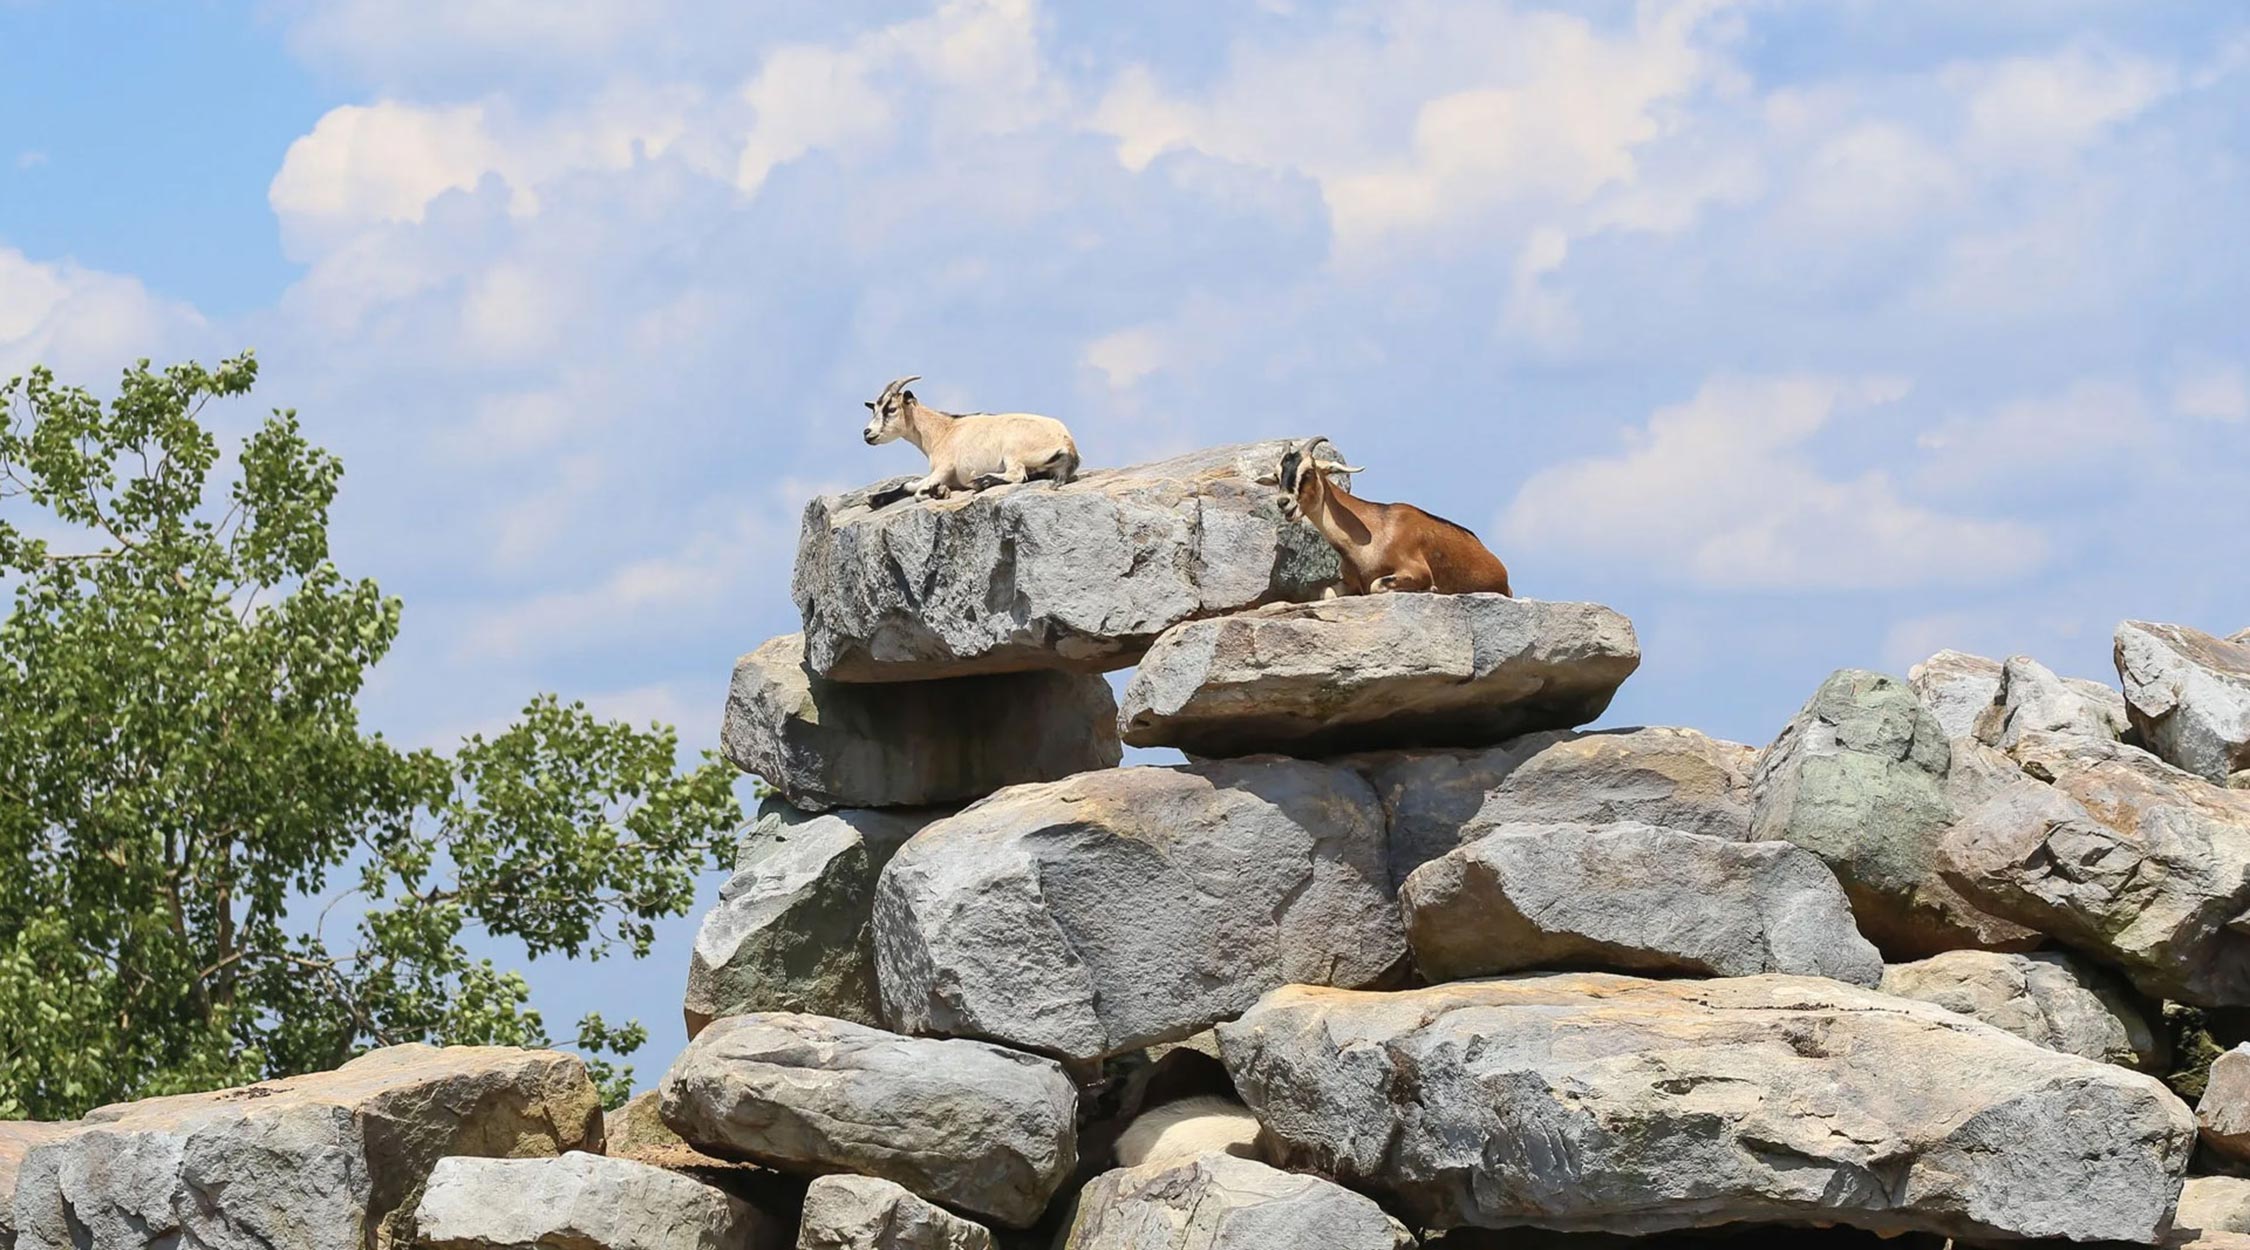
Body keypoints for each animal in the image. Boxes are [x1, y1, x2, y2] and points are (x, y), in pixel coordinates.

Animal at [861, 375, 1081, 504]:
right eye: (874, 409)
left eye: (891, 409)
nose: (867, 432)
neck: (942, 431)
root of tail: (1067, 443)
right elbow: (908, 485)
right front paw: (875, 499)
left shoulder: (945, 467)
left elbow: (918, 493)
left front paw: (939, 492)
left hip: (1013, 450)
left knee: (1017, 475)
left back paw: (981, 481)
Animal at [1259, 436, 1513, 596]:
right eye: (1277, 475)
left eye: (1309, 471)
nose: (1284, 503)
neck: (1374, 532)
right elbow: (1326, 592)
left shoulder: (1414, 569)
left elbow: (1376, 585)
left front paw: (1431, 588)